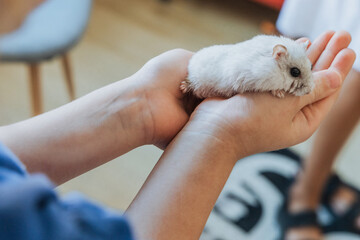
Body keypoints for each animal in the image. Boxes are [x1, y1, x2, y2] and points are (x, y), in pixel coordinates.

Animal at [181, 34, 314, 98]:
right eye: (295, 72)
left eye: (311, 67)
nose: (309, 92)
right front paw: (279, 93)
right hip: (198, 80)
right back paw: (183, 87)